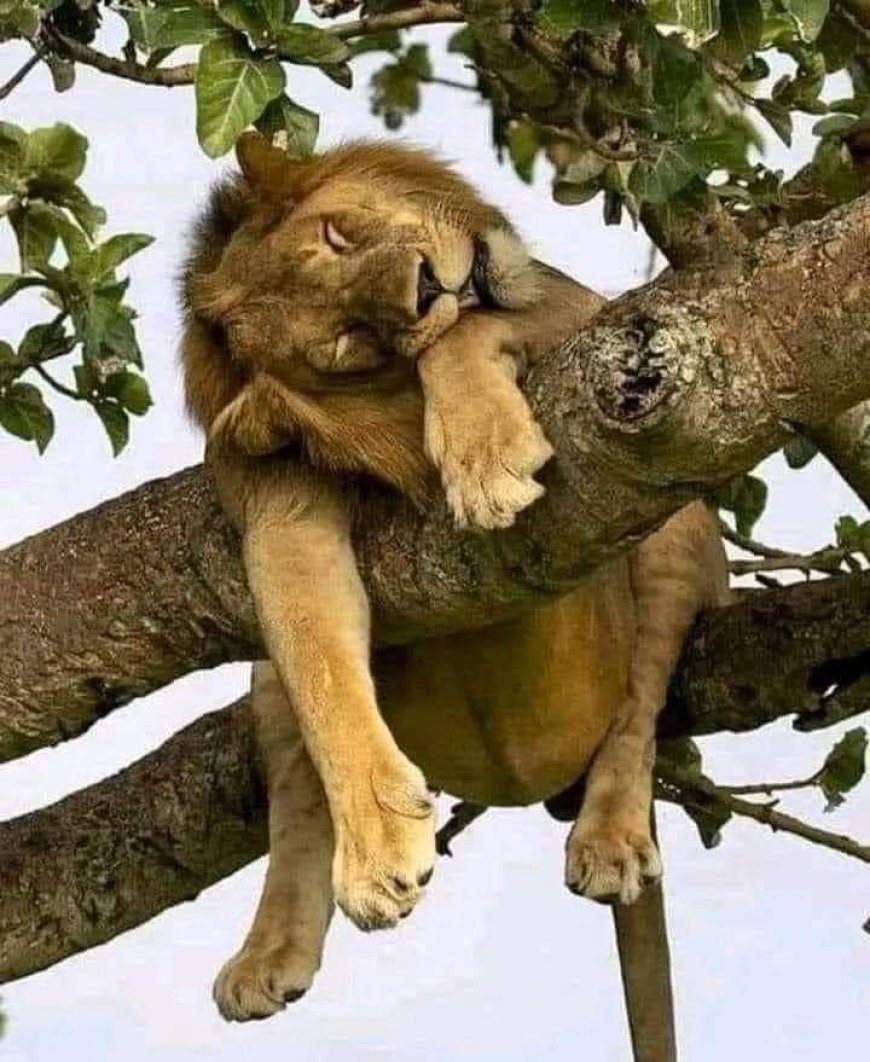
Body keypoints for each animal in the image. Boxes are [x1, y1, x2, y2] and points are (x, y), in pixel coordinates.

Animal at [180, 134, 729, 1023]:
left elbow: (464, 336)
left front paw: (481, 456)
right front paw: (380, 846)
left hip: (676, 527)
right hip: (267, 681)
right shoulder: (277, 517)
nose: (429, 286)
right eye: (348, 339)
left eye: (336, 235)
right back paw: (270, 953)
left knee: (640, 703)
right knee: (297, 798)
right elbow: (324, 676)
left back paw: (610, 836)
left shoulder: (591, 322)